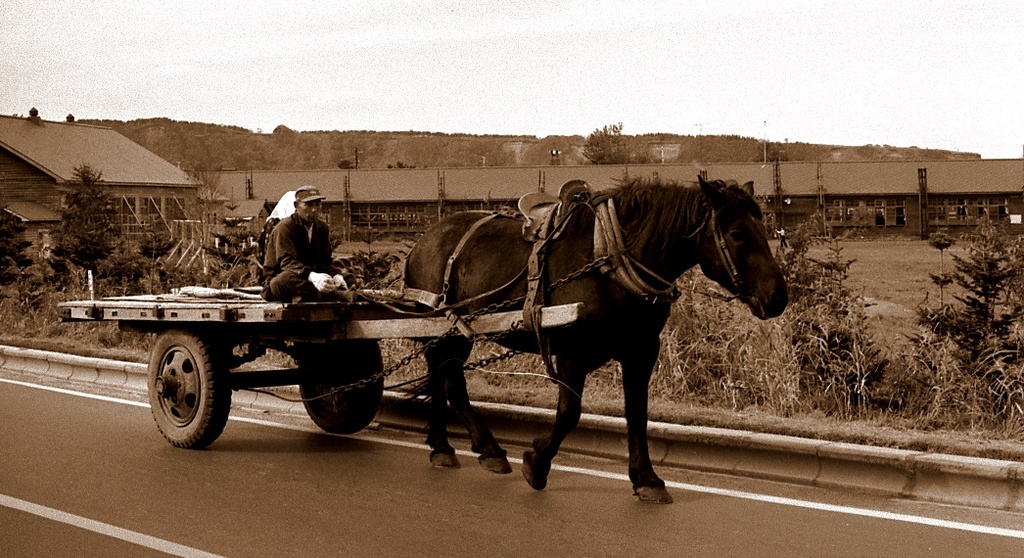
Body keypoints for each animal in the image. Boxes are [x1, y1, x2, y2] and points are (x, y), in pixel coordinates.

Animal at [403, 174, 786, 499]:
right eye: (737, 233)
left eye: (765, 229)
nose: (778, 296)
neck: (610, 263)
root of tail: (425, 238)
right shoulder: (572, 350)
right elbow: (569, 412)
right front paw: (537, 463)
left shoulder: (641, 350)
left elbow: (637, 413)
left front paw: (646, 478)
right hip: (445, 328)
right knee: (451, 382)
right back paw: (487, 448)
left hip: (449, 331)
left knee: (441, 377)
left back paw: (442, 446)